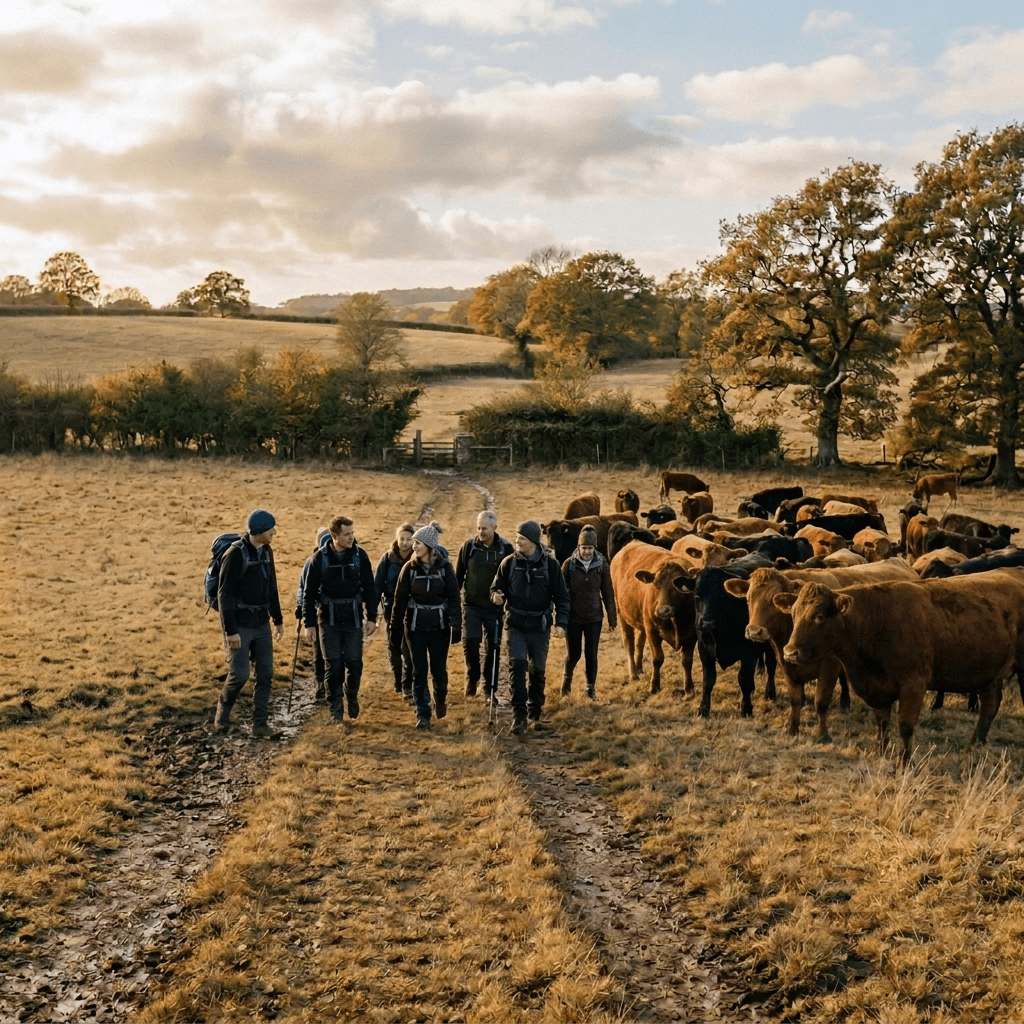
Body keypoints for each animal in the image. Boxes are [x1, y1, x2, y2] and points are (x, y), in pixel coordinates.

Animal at [609, 542, 697, 694]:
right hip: (622, 614)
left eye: (678, 587)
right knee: (629, 644)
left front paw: (689, 687)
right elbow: (657, 659)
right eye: (656, 585)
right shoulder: (652, 631)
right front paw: (654, 685)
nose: (663, 611)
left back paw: (639, 667)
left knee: (639, 642)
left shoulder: (692, 635)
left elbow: (687, 661)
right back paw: (633, 673)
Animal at [692, 552, 777, 719]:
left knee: (770, 666)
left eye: (721, 595)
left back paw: (770, 693)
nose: (707, 622)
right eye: (697, 596)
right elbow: (708, 680)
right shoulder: (704, 650)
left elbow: (744, 680)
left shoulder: (748, 653)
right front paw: (703, 709)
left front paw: (746, 708)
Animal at [723, 559, 916, 740]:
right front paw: (792, 729)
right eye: (748, 599)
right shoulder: (788, 665)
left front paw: (823, 734)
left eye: (772, 601)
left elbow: (821, 703)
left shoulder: (828, 668)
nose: (754, 631)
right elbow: (795, 701)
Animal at [778, 569, 1024, 764]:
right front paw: (880, 751)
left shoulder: (913, 684)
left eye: (819, 617)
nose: (790, 652)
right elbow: (881, 721)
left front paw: (905, 763)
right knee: (989, 706)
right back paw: (975, 745)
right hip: (991, 675)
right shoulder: (876, 686)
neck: (876, 620)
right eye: (793, 614)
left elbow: (905, 725)